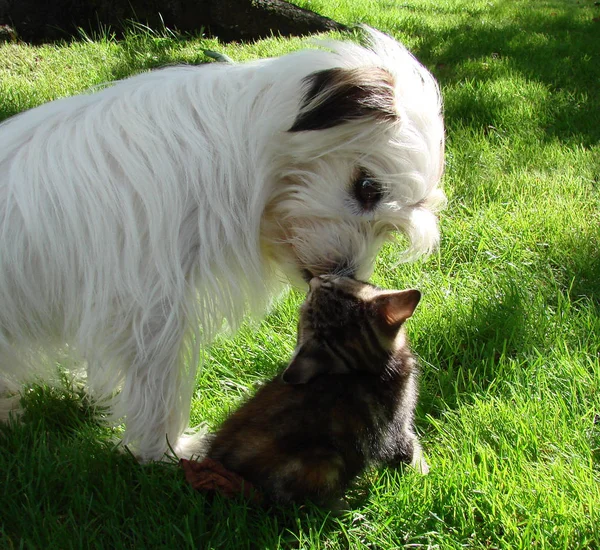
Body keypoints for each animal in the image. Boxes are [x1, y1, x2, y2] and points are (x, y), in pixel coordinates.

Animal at [0, 28, 446, 464]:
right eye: (368, 187)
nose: (346, 276)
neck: (235, 149)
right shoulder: (149, 309)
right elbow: (157, 390)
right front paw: (166, 452)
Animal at [206, 276, 426, 508]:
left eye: (332, 286)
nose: (315, 279)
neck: (370, 368)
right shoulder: (395, 428)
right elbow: (409, 452)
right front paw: (422, 475)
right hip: (325, 461)